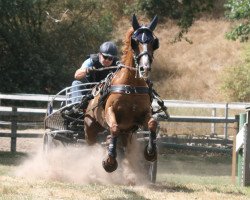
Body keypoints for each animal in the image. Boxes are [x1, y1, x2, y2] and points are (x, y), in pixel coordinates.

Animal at [83, 14, 158, 173]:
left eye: (154, 42)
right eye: (134, 42)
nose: (145, 68)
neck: (131, 85)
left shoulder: (142, 115)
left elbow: (152, 123)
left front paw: (150, 152)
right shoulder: (111, 112)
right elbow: (114, 128)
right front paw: (109, 162)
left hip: (127, 134)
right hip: (90, 129)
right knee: (92, 145)